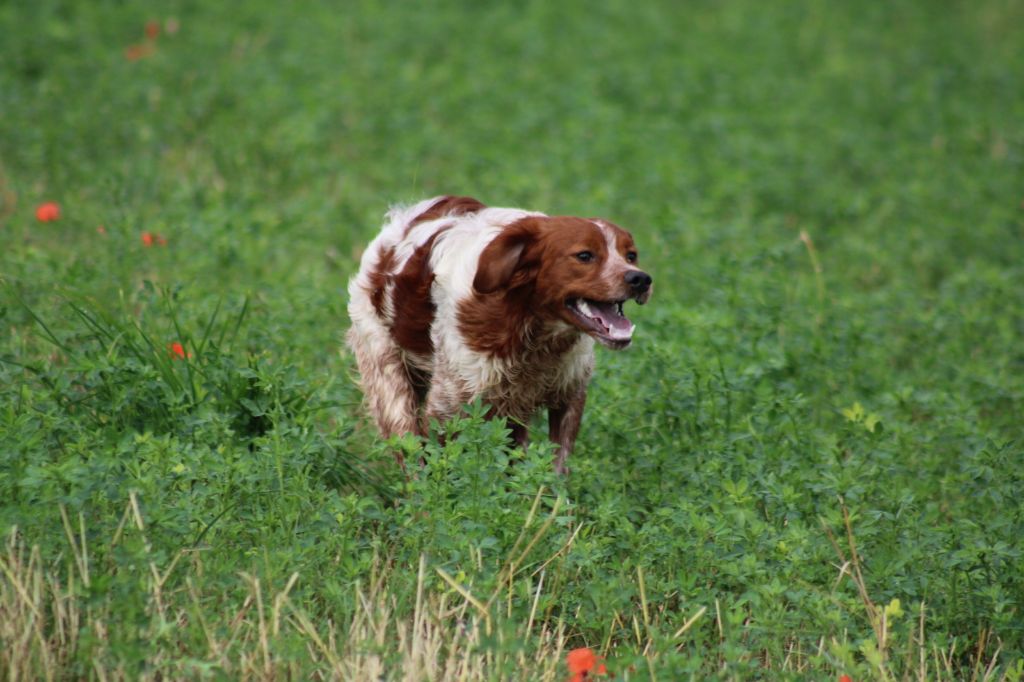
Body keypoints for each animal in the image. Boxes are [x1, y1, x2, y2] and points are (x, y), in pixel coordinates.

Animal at [348, 196, 651, 471]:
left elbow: (555, 468)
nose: (640, 279)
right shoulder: (446, 408)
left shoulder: (569, 393)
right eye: (585, 256)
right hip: (389, 381)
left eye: (631, 255)